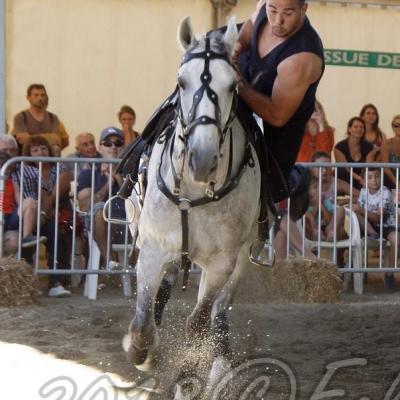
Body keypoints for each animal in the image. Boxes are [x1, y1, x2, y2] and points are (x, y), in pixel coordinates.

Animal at [124, 15, 262, 390]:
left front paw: (190, 375)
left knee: (219, 311)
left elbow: (197, 323)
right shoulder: (153, 246)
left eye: (232, 86)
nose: (202, 159)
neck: (193, 190)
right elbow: (142, 324)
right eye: (181, 82)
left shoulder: (222, 262)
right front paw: (144, 354)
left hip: (241, 257)